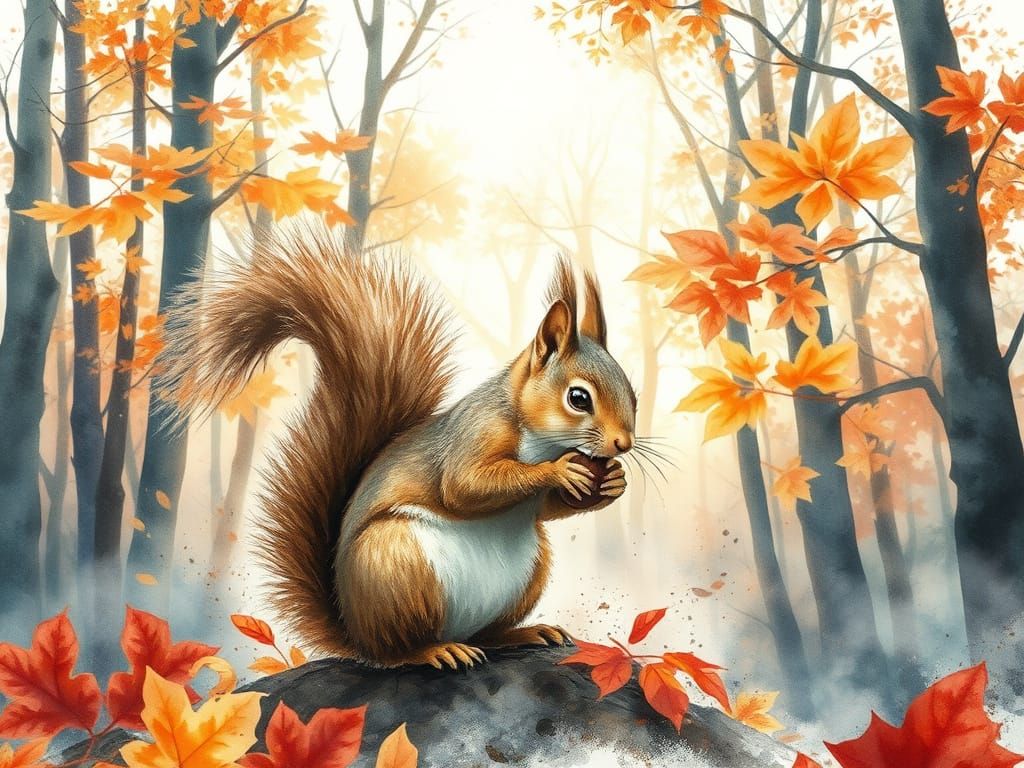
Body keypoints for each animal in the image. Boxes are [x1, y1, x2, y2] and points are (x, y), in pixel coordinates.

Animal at [160, 226, 637, 669]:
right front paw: (560, 471)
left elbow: (547, 510)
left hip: (528, 572)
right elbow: (464, 486)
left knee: (487, 634)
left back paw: (524, 633)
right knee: (396, 651)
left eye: (631, 391)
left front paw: (612, 483)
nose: (624, 444)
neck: (540, 438)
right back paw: (433, 651)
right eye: (578, 398)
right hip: (396, 565)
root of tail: (356, 634)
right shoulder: (475, 434)